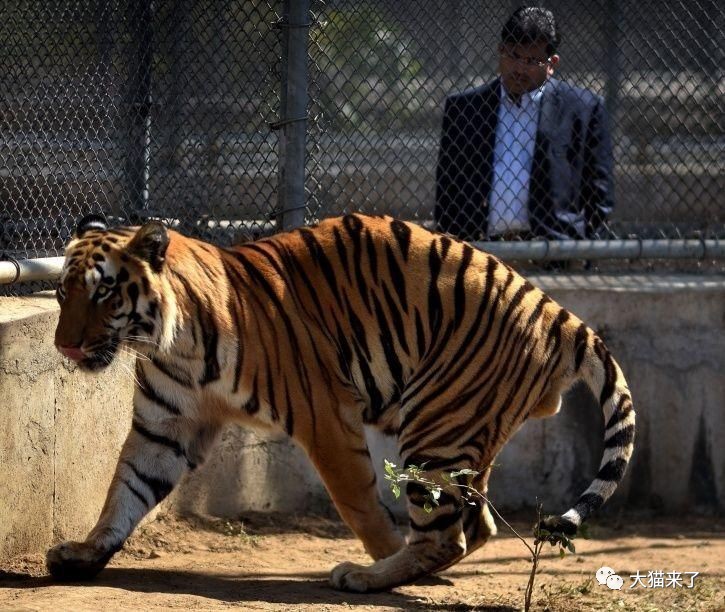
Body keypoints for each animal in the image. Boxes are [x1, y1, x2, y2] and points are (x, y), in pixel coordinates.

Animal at [46, 213, 632, 592]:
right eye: (61, 292)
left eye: (104, 292)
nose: (64, 346)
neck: (171, 343)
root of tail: (553, 308)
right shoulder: (165, 424)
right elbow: (125, 490)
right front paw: (86, 553)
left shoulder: (324, 416)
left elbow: (357, 502)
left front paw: (381, 552)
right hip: (456, 428)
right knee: (476, 524)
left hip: (435, 427)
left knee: (447, 535)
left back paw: (371, 577)